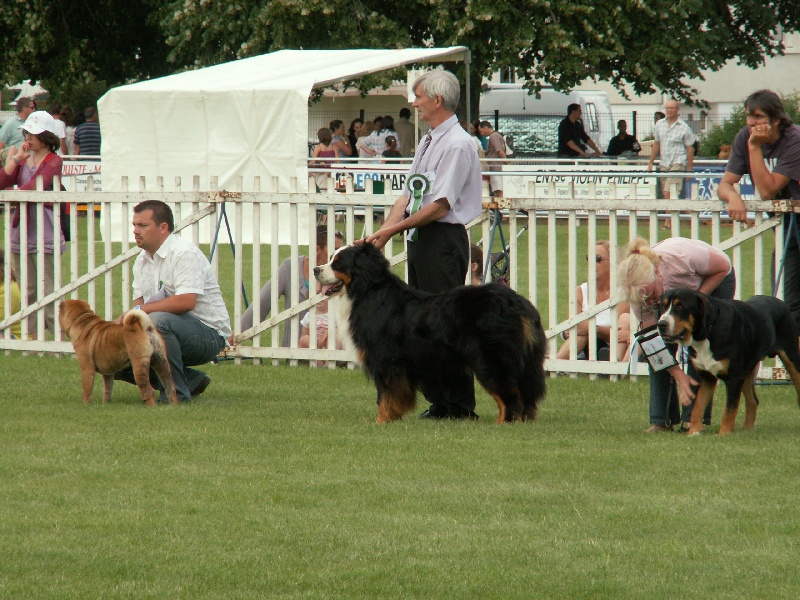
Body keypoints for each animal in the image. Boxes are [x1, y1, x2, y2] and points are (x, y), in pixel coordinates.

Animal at [310, 243, 544, 422]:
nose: (315, 269)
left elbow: (385, 396)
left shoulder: (385, 360)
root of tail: (516, 302)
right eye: (330, 258)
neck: (367, 292)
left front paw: (381, 422)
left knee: (509, 396)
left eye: (337, 262)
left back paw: (504, 423)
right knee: (525, 396)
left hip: (490, 360)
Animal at [656, 288, 800, 434]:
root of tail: (779, 301)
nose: (661, 324)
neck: (707, 332)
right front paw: (694, 432)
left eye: (679, 307)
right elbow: (698, 406)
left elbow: (729, 409)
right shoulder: (707, 377)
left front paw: (724, 433)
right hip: (747, 370)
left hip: (792, 359)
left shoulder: (734, 378)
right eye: (663, 306)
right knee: (752, 401)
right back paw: (746, 430)